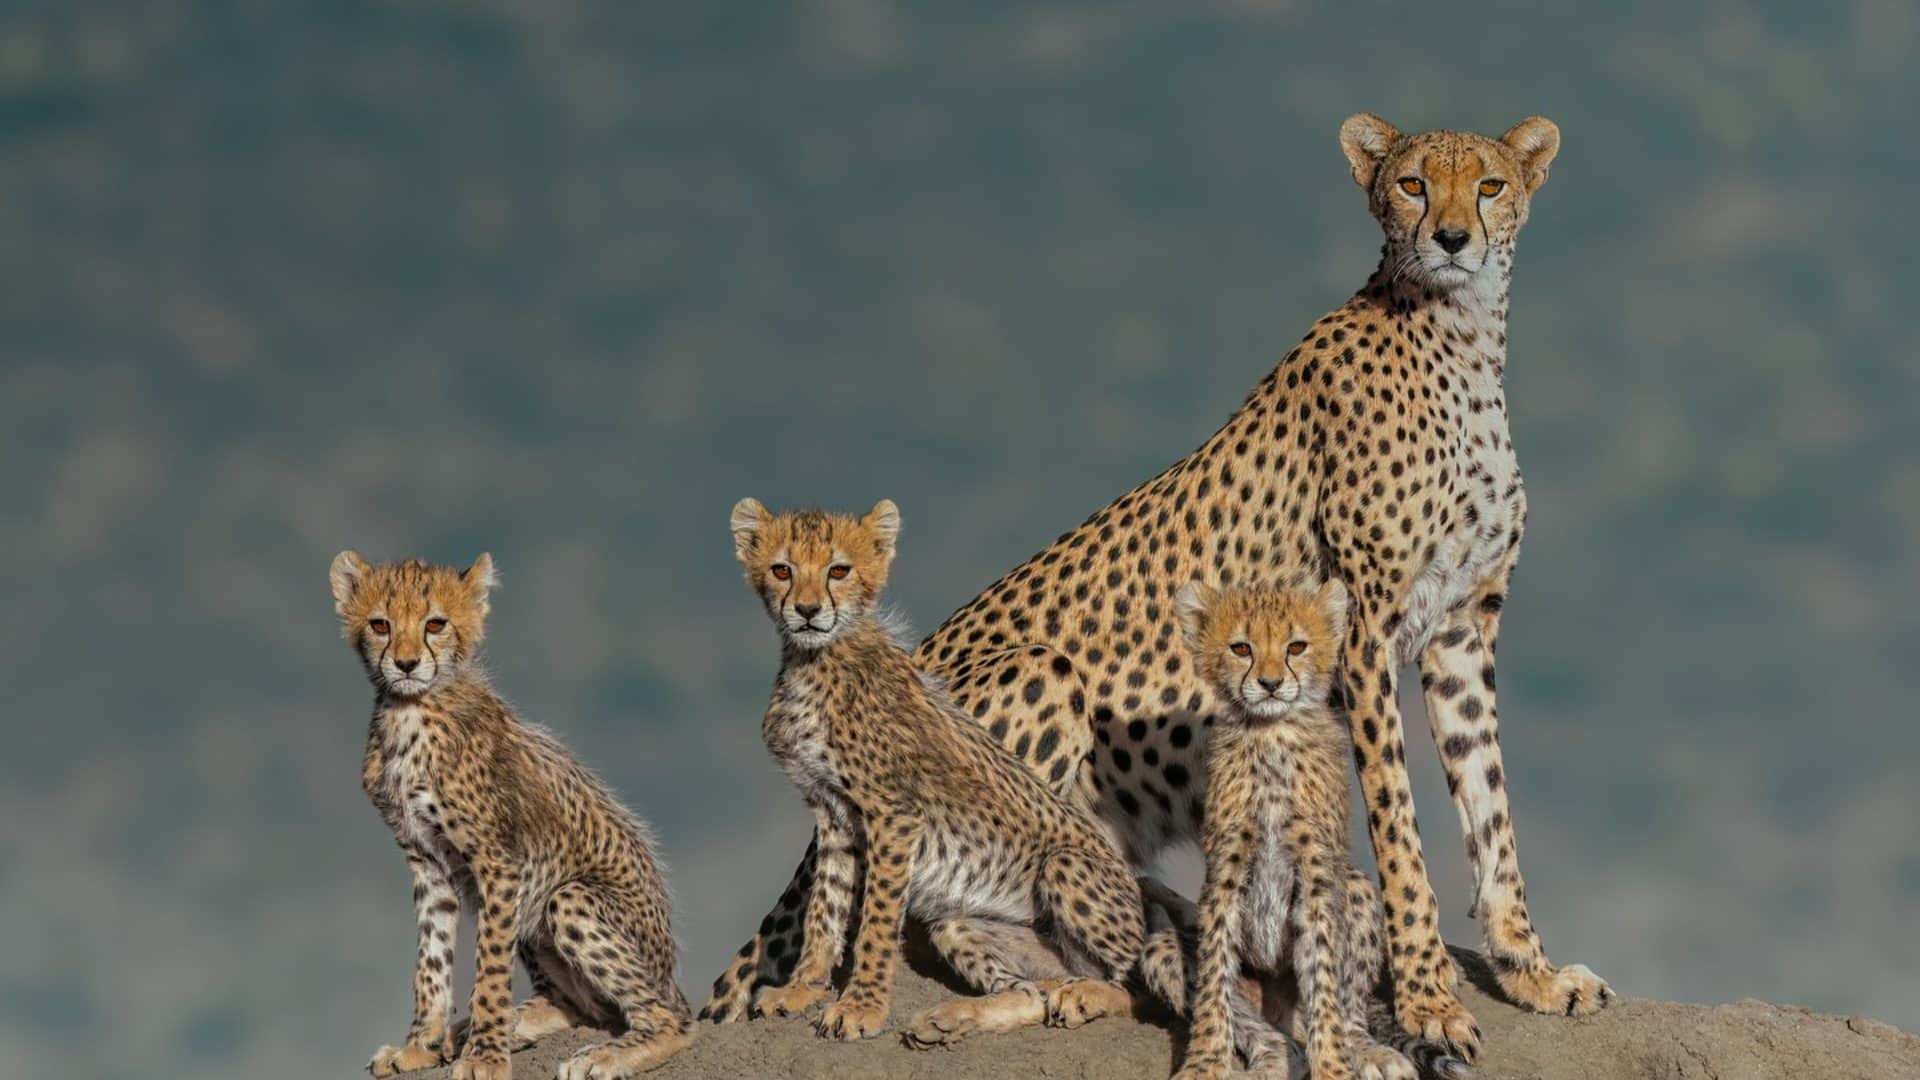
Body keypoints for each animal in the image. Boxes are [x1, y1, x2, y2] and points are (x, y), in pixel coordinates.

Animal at [331, 551, 691, 1080]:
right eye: (381, 625)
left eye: (435, 624)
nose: (406, 663)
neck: (410, 710)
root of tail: (671, 978)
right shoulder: (428, 862)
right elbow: (431, 959)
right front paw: (421, 1045)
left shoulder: (498, 863)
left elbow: (490, 969)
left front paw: (484, 1056)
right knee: (582, 1007)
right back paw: (487, 1030)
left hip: (566, 896)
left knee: (668, 1020)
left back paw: (603, 1054)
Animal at [729, 498, 1147, 1047]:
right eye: (783, 570)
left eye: (838, 570)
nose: (807, 610)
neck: (816, 661)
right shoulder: (834, 813)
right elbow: (826, 906)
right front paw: (802, 989)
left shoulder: (893, 816)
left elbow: (876, 921)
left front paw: (861, 1008)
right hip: (963, 925)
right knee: (1028, 994)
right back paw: (955, 1018)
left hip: (1066, 868)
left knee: (1138, 987)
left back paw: (1085, 997)